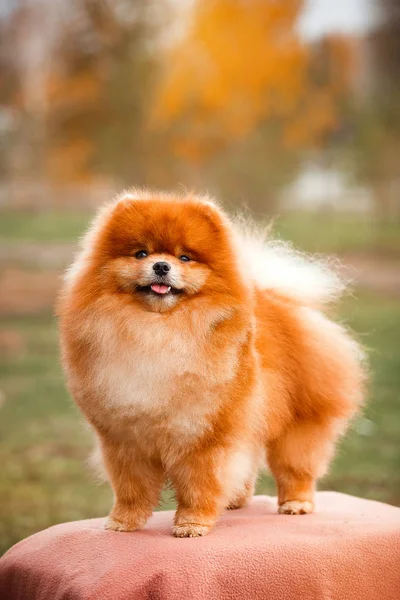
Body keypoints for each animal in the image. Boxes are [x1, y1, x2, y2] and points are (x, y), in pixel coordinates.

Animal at [58, 190, 366, 536]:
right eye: (141, 253)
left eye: (185, 258)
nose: (161, 265)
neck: (158, 330)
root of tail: (275, 298)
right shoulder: (124, 439)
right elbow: (131, 488)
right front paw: (123, 521)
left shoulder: (205, 435)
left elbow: (199, 484)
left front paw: (192, 524)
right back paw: (235, 501)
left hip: (298, 421)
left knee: (296, 465)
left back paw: (296, 503)